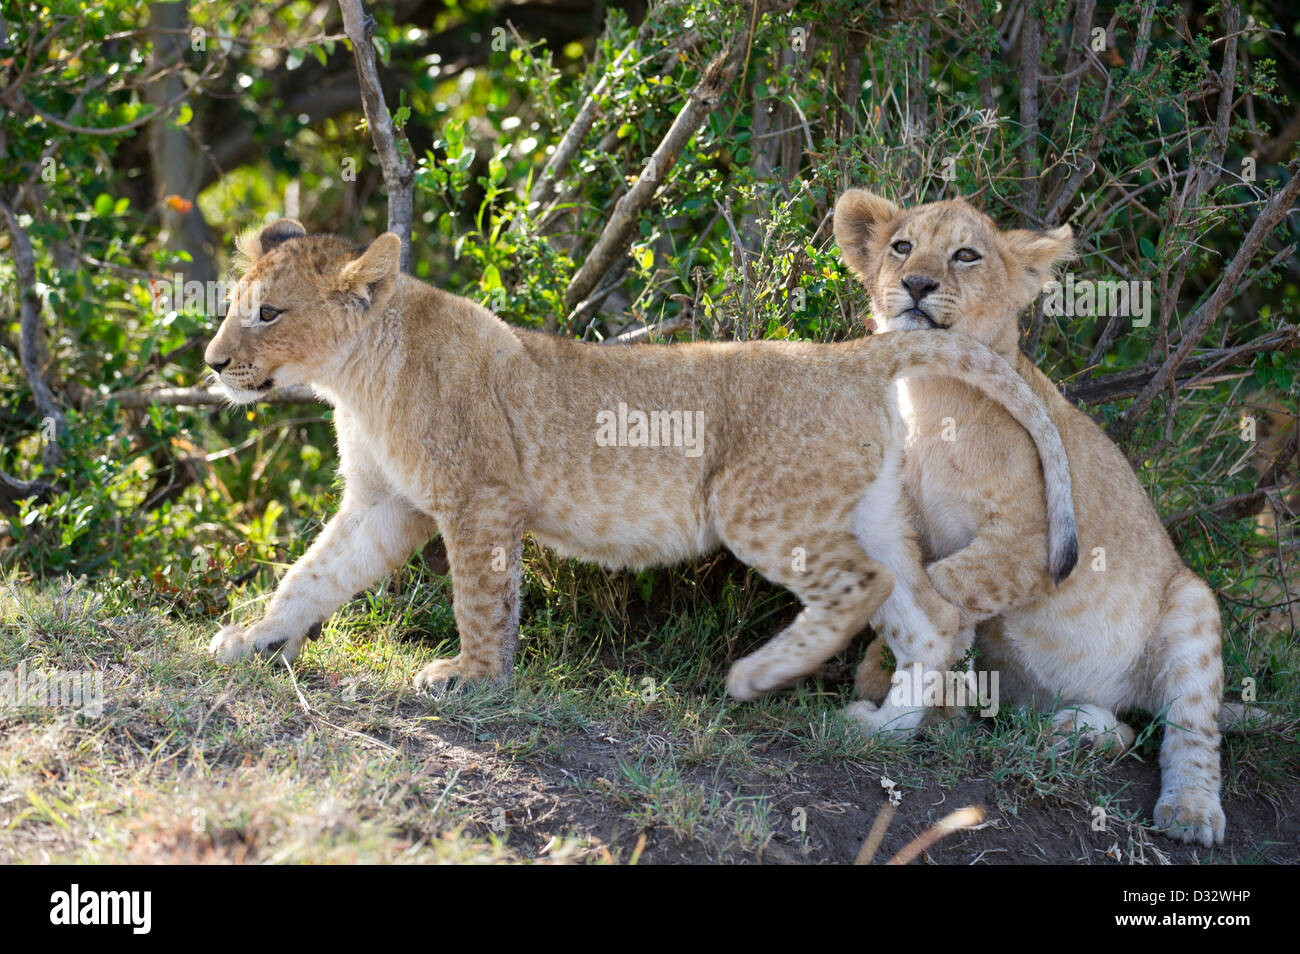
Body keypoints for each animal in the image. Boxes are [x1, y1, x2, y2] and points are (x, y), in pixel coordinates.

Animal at [202, 218, 1077, 734]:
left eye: (268, 314)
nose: (211, 363)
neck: (355, 375)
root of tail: (852, 355)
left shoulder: (479, 499)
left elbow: (481, 601)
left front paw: (472, 678)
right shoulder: (384, 505)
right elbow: (313, 576)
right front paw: (256, 639)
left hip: (751, 503)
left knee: (862, 586)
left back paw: (757, 676)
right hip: (870, 513)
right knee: (929, 614)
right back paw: (884, 729)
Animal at [833, 189, 1227, 846]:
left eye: (966, 255)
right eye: (902, 247)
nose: (916, 283)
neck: (928, 392)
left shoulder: (1033, 546)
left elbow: (933, 599)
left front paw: (889, 713)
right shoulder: (909, 529)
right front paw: (912, 697)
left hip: (1192, 603)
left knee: (1189, 731)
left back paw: (1190, 811)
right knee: (1119, 729)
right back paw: (1067, 730)